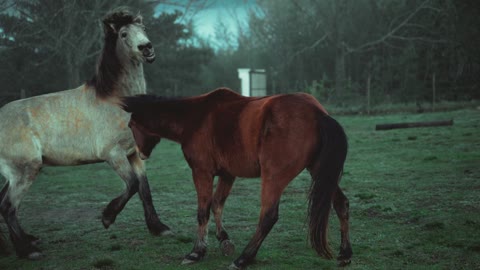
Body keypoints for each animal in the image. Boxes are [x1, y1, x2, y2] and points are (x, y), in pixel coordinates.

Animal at [0, 7, 171, 260]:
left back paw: (25, 242)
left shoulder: (134, 155)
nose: (146, 48)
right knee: (8, 206)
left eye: (143, 29)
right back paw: (28, 250)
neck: (117, 101)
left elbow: (144, 189)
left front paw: (158, 228)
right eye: (123, 34)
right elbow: (131, 185)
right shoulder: (114, 155)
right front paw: (107, 218)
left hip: (13, 174)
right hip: (24, 171)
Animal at [120, 88, 352, 268]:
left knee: (268, 216)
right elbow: (216, 205)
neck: (195, 118)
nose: (139, 154)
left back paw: (244, 259)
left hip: (274, 177)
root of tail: (318, 113)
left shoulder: (202, 172)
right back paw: (345, 254)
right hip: (321, 172)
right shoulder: (227, 175)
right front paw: (223, 239)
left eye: (130, 126)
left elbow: (203, 211)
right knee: (341, 204)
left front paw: (197, 252)